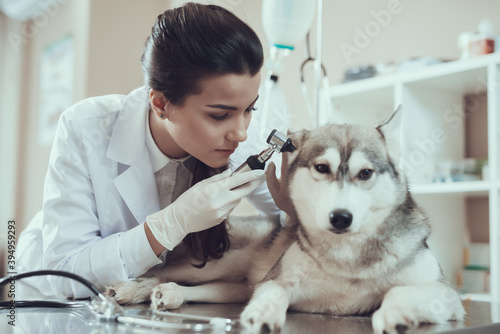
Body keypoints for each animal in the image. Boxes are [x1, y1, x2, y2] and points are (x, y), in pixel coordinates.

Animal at [107, 108, 466, 332]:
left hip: (238, 282)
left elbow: (400, 293)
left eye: (365, 173)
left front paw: (394, 312)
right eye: (322, 168)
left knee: (220, 289)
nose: (341, 218)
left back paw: (171, 294)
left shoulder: (446, 295)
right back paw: (134, 289)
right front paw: (263, 313)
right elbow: (274, 293)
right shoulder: (277, 281)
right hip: (218, 263)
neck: (346, 257)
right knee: (163, 270)